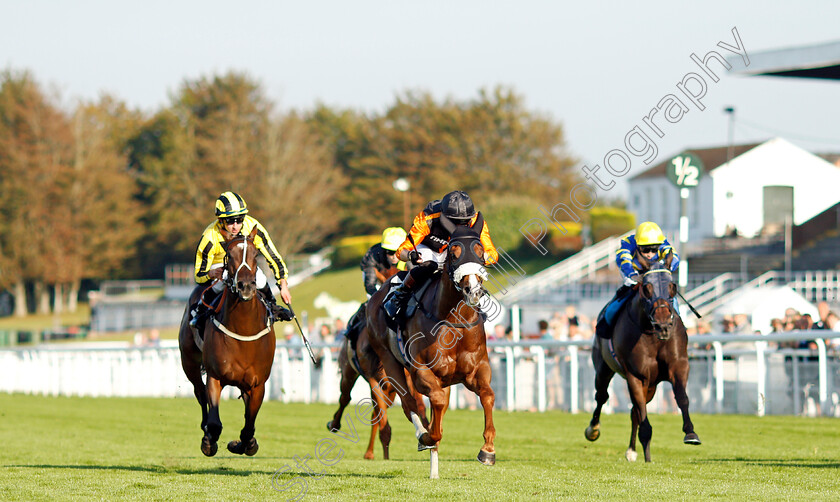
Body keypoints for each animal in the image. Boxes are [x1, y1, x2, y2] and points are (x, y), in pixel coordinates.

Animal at [178, 226, 276, 454]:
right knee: (199, 392)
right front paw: (209, 441)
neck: (244, 330)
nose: (246, 286)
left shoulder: (257, 384)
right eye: (229, 255)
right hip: (189, 362)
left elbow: (249, 425)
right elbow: (214, 422)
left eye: (255, 254)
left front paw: (243, 444)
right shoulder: (215, 376)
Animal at [366, 215, 492, 478]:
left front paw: (488, 450)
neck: (454, 321)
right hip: (390, 361)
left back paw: (434, 469)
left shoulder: (476, 371)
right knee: (409, 404)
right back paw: (424, 439)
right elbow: (435, 408)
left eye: (480, 251)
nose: (473, 290)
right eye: (454, 253)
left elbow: (487, 396)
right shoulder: (422, 372)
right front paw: (427, 437)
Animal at [584, 256, 704, 464]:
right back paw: (593, 430)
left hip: (651, 386)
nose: (663, 325)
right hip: (603, 367)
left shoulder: (678, 365)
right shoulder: (636, 375)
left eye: (672, 286)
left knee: (634, 411)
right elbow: (643, 418)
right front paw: (647, 454)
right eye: (647, 287)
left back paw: (631, 450)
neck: (653, 335)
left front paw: (690, 433)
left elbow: (682, 397)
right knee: (602, 396)